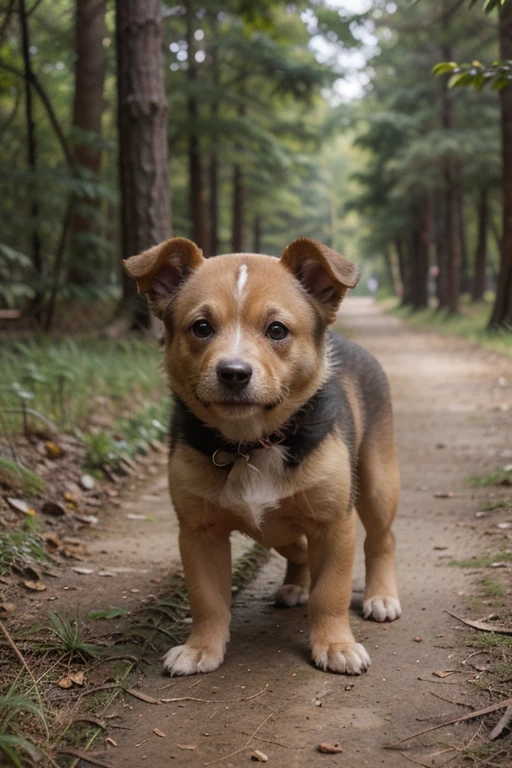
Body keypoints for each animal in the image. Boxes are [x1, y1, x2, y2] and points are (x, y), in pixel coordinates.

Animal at [123, 236, 400, 680]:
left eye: (277, 330)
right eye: (201, 327)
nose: (234, 372)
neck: (252, 443)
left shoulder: (333, 525)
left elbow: (331, 592)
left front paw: (335, 644)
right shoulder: (198, 533)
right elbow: (207, 599)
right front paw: (201, 648)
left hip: (377, 482)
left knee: (381, 539)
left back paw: (381, 595)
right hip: (280, 531)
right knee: (299, 550)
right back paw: (297, 584)